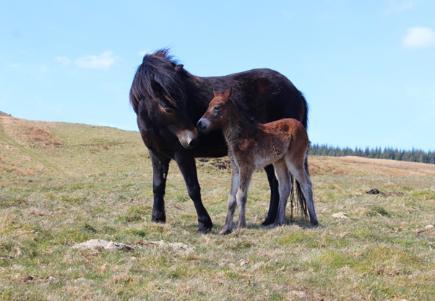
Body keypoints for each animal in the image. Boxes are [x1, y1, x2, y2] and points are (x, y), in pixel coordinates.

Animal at [198, 88, 320, 233]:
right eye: (208, 105)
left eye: (217, 107)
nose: (200, 123)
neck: (241, 136)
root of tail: (302, 127)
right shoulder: (236, 170)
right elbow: (231, 198)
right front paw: (226, 229)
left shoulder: (246, 168)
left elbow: (241, 195)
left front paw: (241, 226)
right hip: (279, 162)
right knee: (285, 186)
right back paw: (279, 222)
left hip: (294, 160)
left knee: (306, 185)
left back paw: (314, 221)